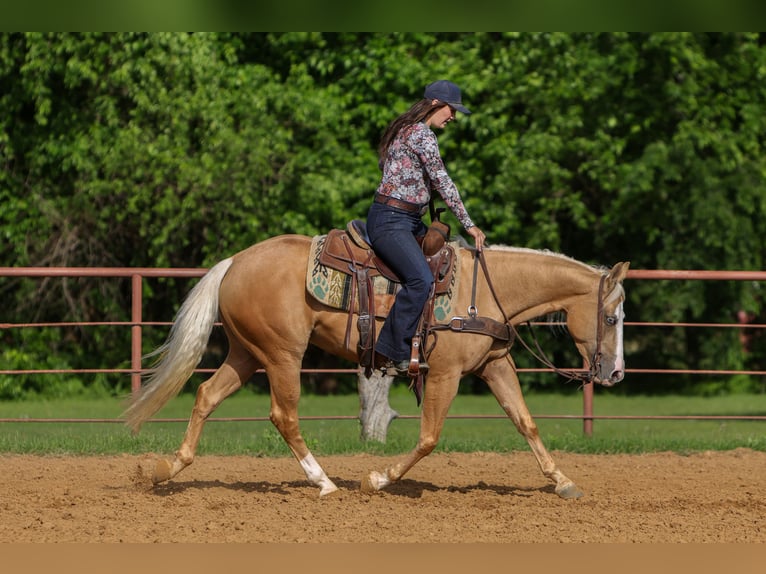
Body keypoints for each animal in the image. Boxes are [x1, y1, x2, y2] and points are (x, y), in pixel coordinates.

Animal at [123, 233, 629, 499]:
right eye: (611, 317)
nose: (616, 374)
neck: (483, 291)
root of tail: (233, 263)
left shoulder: (495, 366)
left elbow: (526, 423)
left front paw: (563, 482)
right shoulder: (444, 374)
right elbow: (429, 438)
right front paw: (377, 478)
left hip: (247, 354)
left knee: (206, 395)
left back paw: (167, 469)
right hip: (283, 356)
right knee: (284, 415)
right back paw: (325, 482)